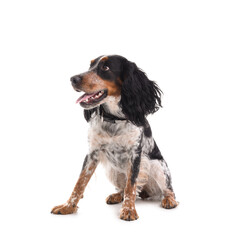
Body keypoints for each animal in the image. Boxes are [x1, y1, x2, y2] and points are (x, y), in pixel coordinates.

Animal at [51, 54, 178, 221]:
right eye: (90, 66)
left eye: (106, 68)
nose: (73, 79)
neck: (114, 119)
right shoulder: (92, 153)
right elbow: (80, 183)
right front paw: (68, 206)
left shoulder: (135, 154)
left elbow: (131, 185)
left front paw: (129, 210)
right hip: (113, 171)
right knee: (123, 189)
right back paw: (117, 196)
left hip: (158, 167)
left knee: (168, 190)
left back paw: (169, 200)